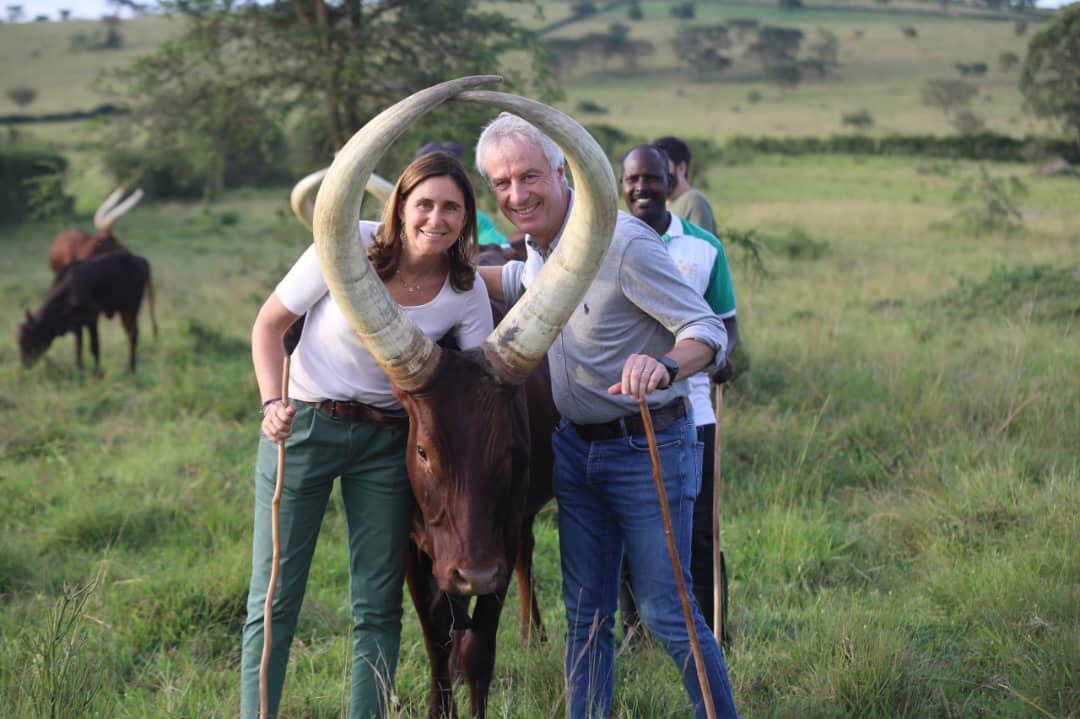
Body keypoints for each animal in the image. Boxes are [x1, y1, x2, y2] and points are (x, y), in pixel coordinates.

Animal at [17, 250, 157, 371]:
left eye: (28, 339)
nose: (25, 364)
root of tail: (139, 259)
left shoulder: (91, 319)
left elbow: (94, 346)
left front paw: (97, 373)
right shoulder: (76, 324)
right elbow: (78, 347)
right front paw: (79, 369)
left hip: (131, 308)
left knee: (132, 335)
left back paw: (130, 369)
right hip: (124, 311)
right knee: (129, 334)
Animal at [311, 75, 617, 712]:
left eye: (509, 453)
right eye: (424, 451)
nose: (472, 575)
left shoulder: (497, 533)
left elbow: (477, 651)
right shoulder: (411, 550)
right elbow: (437, 645)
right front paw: (437, 702)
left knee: (522, 556)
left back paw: (533, 632)